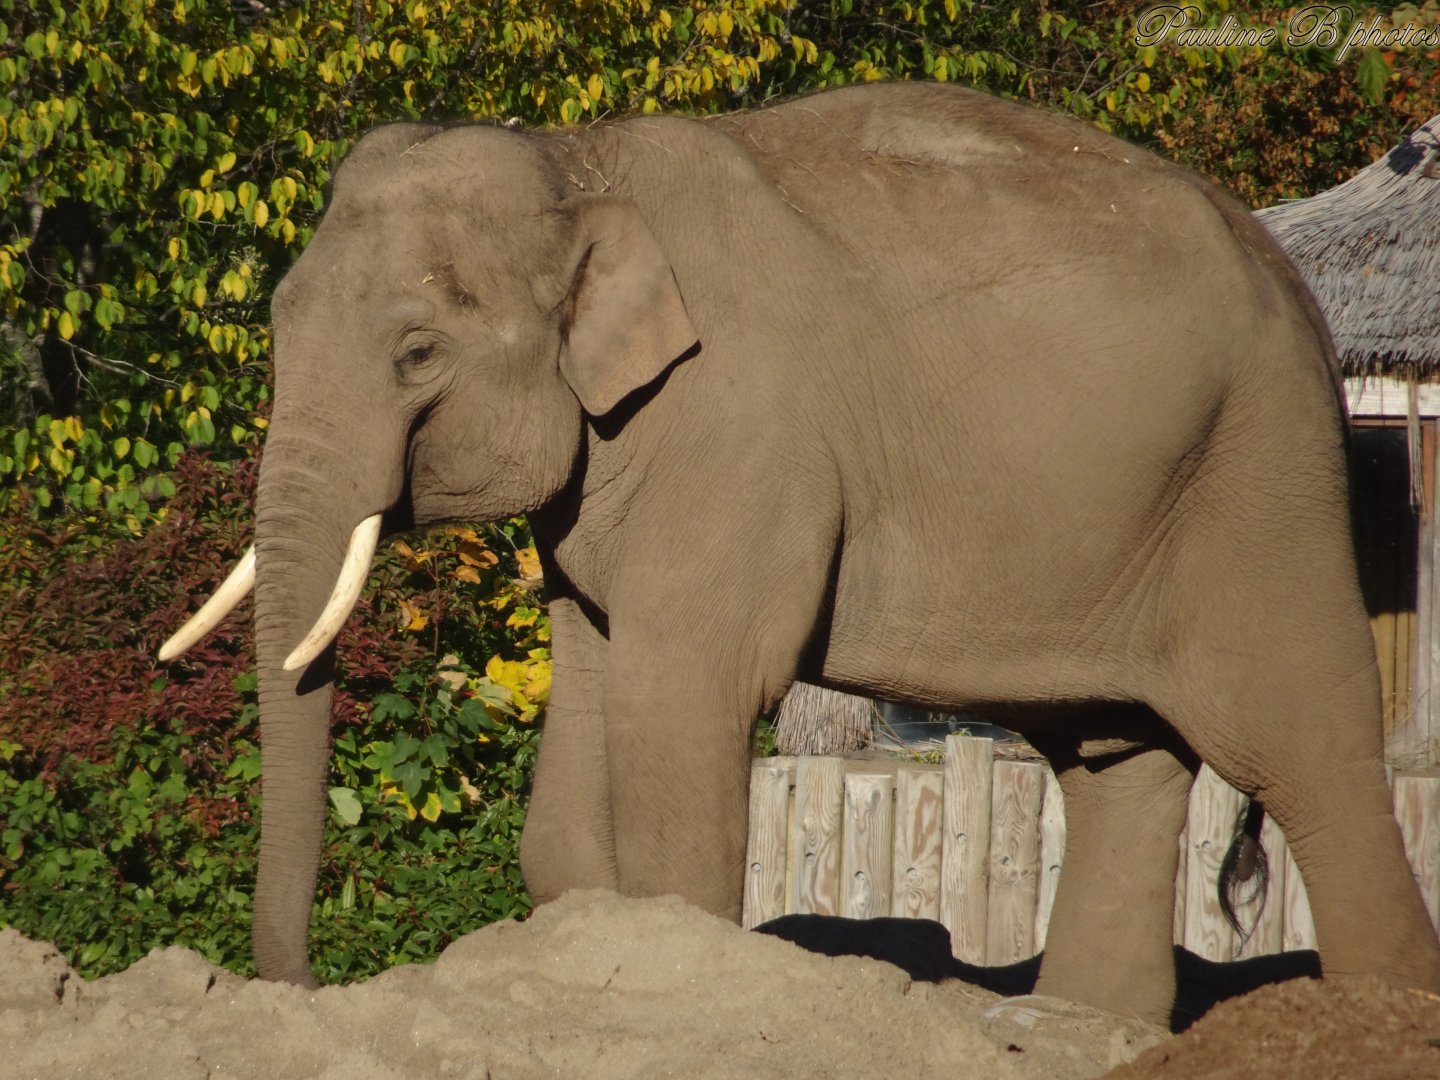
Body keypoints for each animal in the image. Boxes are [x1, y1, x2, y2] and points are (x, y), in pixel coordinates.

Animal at [160, 81, 1440, 1026]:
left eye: (418, 353)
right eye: (276, 318)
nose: (297, 987)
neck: (579, 169)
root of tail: (1298, 287)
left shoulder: (738, 427)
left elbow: (687, 691)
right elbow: (591, 684)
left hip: (1265, 480)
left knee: (1307, 753)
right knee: (1121, 763)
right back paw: (1074, 1027)